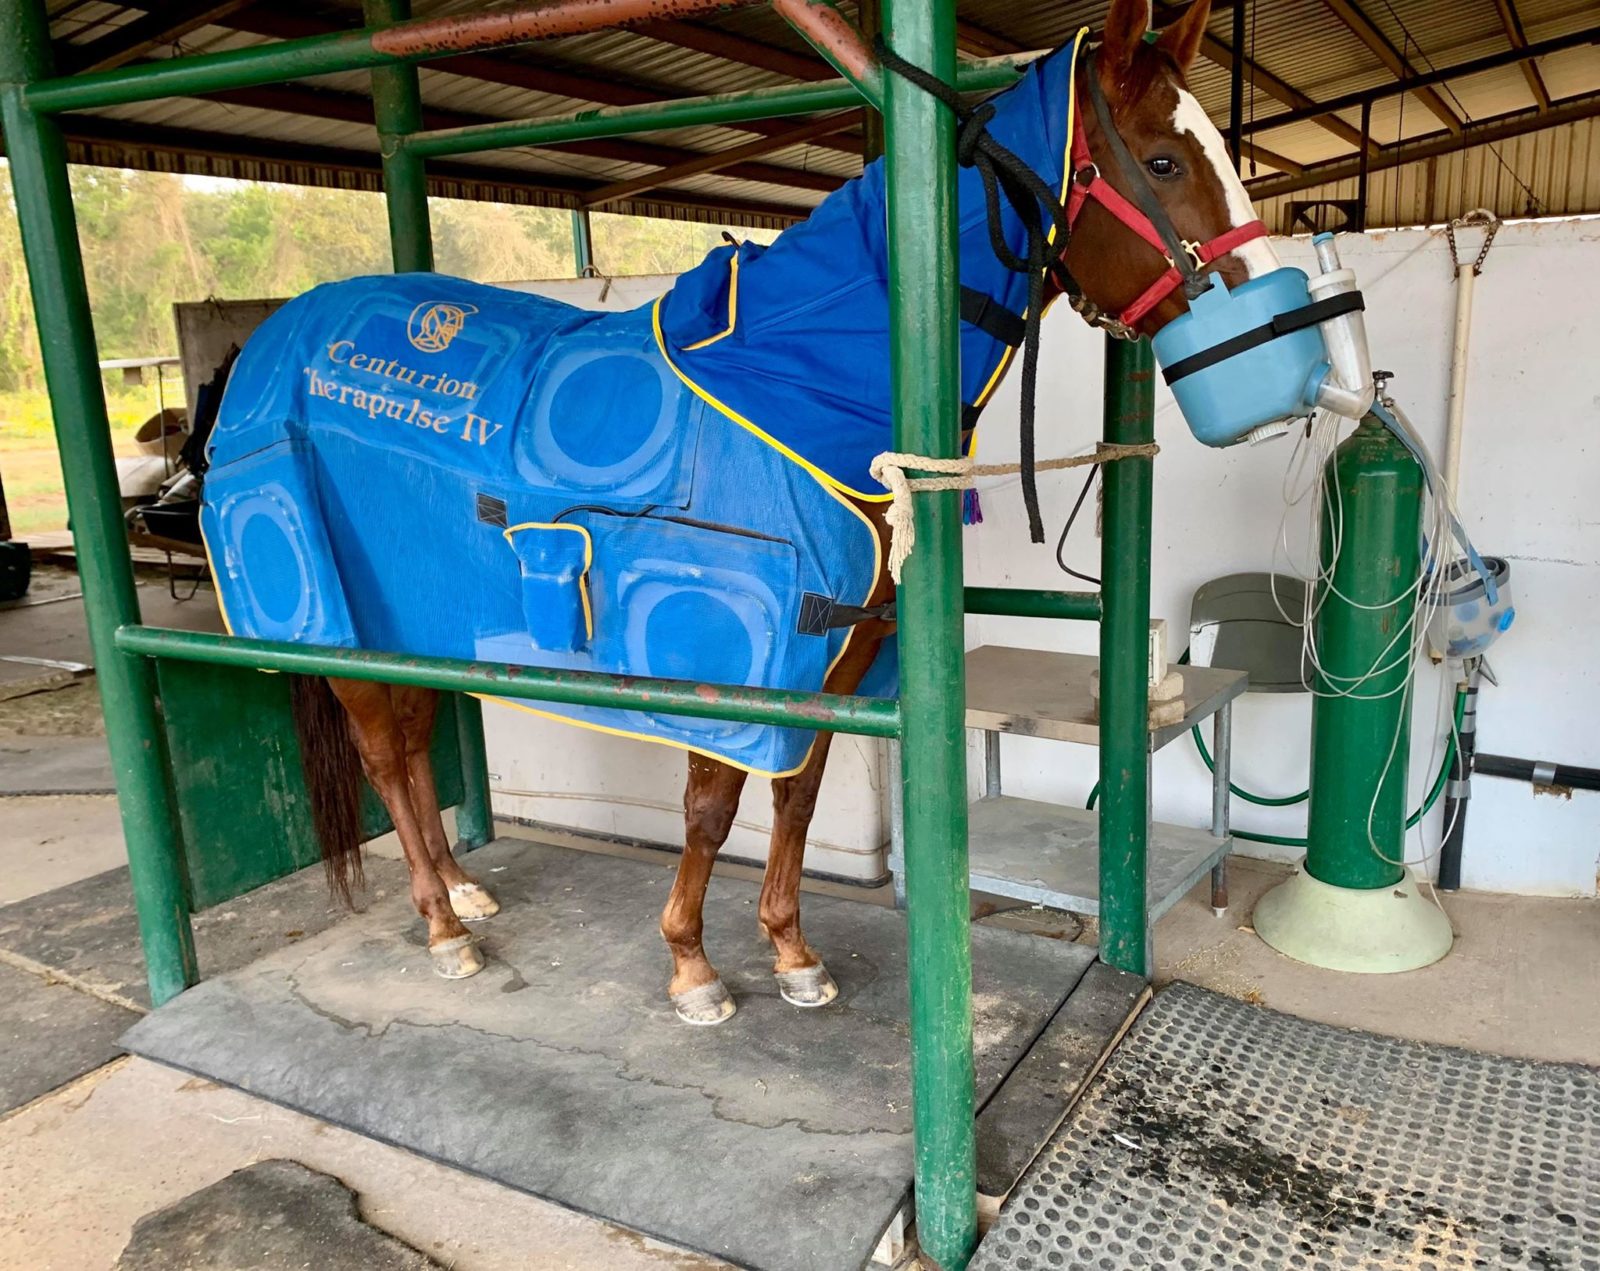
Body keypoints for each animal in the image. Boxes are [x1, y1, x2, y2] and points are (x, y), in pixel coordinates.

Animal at [205, 0, 1279, 1024]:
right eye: (1164, 159)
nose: (1273, 318)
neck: (791, 385)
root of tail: (273, 339)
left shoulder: (838, 659)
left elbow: (796, 796)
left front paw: (792, 953)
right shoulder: (731, 655)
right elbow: (711, 808)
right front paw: (692, 967)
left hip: (408, 618)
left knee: (416, 745)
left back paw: (464, 890)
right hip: (335, 621)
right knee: (387, 756)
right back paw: (442, 927)